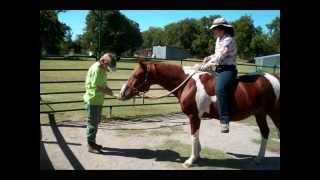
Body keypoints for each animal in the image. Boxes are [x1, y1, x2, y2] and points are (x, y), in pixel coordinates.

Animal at [119, 60, 278, 167]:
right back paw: (258, 159)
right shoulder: (197, 117)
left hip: (273, 112)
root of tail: (274, 77)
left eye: (137, 75)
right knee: (265, 132)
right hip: (260, 114)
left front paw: (190, 160)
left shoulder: (193, 116)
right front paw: (197, 155)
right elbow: (196, 135)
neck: (187, 84)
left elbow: (193, 136)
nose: (122, 93)